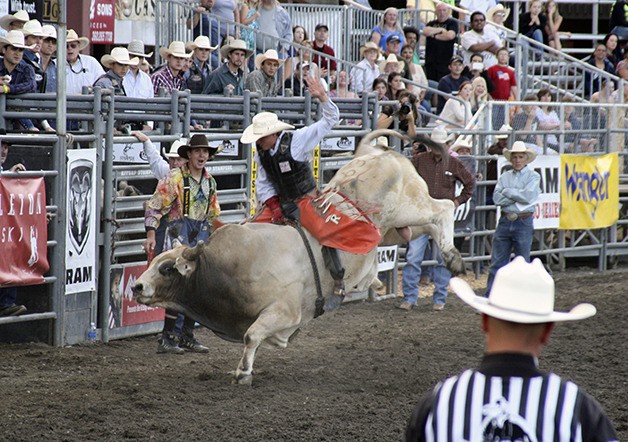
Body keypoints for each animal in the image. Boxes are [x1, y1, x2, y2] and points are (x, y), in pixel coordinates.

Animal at [134, 130, 466, 384]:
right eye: (153, 262)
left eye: (166, 268)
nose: (136, 287)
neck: (226, 266)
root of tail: (376, 153)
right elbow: (254, 338)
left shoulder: (285, 311)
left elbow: (251, 336)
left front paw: (243, 373)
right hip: (395, 230)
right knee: (432, 224)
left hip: (405, 208)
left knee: (444, 208)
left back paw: (454, 258)